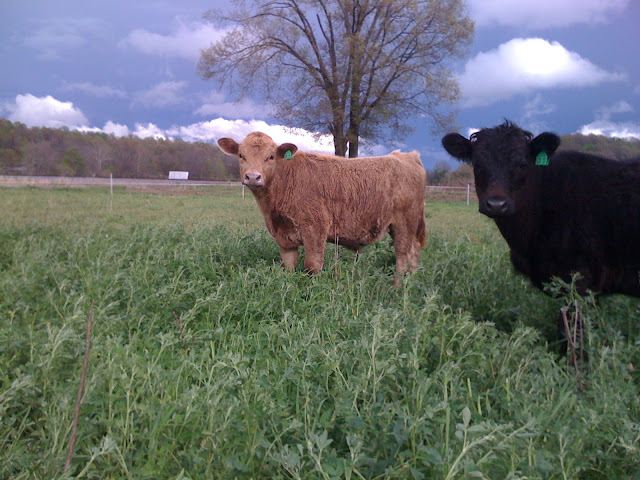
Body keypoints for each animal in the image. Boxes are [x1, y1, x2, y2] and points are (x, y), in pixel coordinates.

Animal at [218, 132, 427, 281]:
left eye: (270, 156)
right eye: (241, 155)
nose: (253, 177)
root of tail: (408, 156)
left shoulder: (315, 228)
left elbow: (312, 265)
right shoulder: (285, 238)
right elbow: (288, 267)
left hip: (404, 223)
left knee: (403, 256)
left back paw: (398, 287)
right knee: (414, 252)